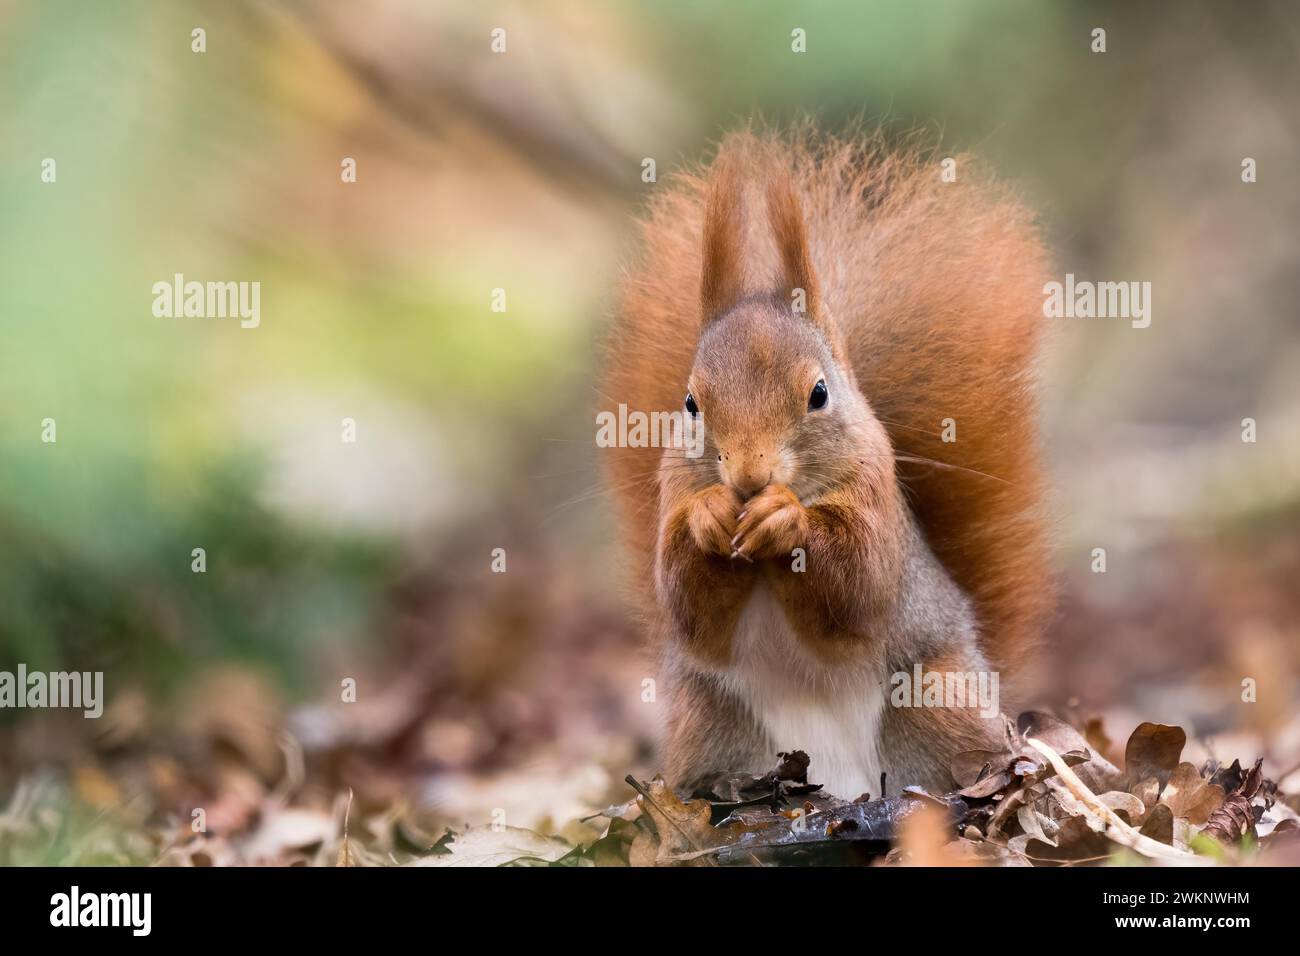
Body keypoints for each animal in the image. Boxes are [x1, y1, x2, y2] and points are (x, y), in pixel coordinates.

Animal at [603, 125, 1052, 799]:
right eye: (690, 404)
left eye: (819, 393)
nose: (749, 477)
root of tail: (842, 787)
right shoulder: (670, 499)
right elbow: (684, 598)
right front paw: (711, 515)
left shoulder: (874, 496)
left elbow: (858, 577)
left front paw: (784, 519)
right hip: (711, 721)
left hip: (934, 702)